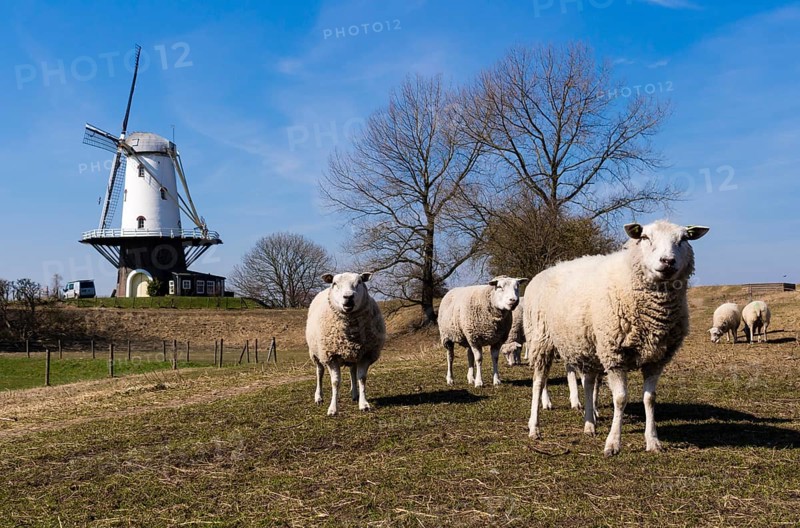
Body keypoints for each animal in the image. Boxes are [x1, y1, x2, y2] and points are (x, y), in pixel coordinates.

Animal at [305, 272, 385, 416]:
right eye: (334, 283)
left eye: (359, 282)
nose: (348, 297)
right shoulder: (331, 356)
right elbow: (335, 382)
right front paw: (333, 408)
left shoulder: (365, 354)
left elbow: (361, 378)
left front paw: (364, 404)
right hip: (315, 353)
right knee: (319, 372)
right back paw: (318, 397)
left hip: (353, 354)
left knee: (352, 371)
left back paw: (354, 394)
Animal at [525, 220, 709, 456]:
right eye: (645, 237)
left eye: (684, 239)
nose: (668, 261)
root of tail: (546, 270)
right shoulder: (615, 355)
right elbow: (620, 399)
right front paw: (613, 443)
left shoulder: (656, 358)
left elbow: (650, 398)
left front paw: (653, 441)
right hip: (541, 339)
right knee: (539, 382)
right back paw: (534, 427)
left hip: (589, 345)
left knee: (588, 382)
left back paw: (590, 424)